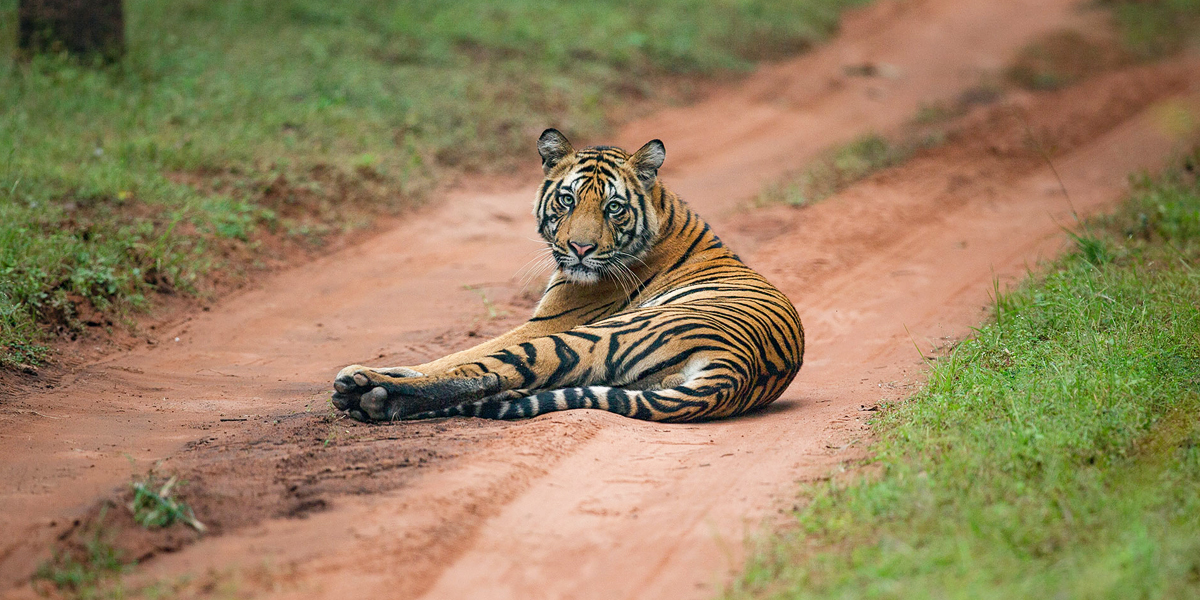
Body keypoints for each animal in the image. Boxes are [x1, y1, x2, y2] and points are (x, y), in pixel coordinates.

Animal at [328, 130, 801, 422]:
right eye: (568, 199)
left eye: (613, 207)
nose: (580, 249)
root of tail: (736, 371)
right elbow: (439, 358)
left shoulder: (547, 322)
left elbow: (458, 356)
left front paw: (365, 373)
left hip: (583, 338)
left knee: (492, 371)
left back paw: (369, 395)